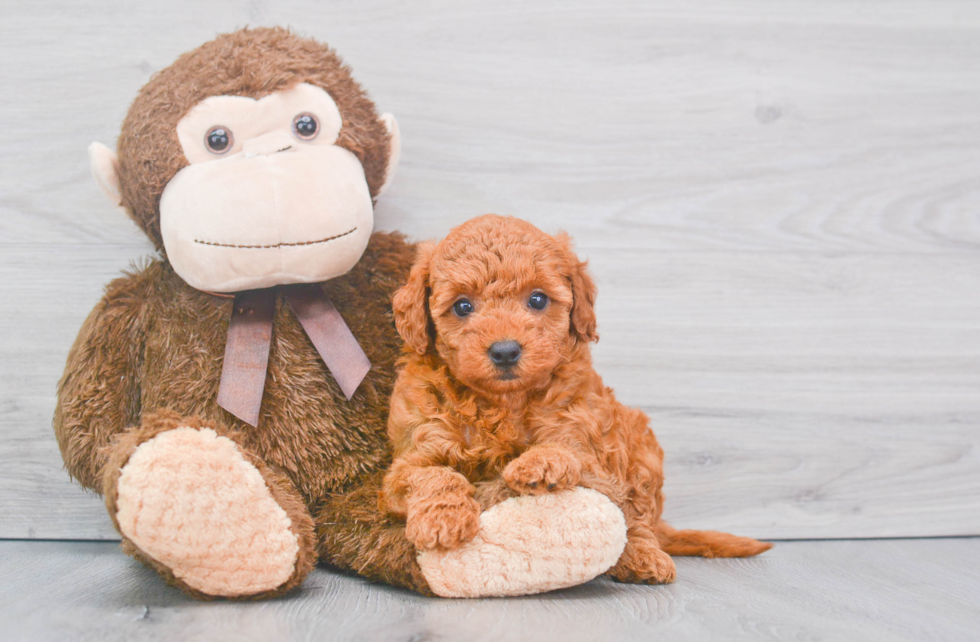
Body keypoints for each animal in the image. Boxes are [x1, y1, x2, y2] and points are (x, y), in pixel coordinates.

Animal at [378, 212, 768, 584]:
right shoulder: (410, 458)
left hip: (641, 449)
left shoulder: (586, 437)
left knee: (636, 520)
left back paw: (642, 557)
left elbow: (569, 451)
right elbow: (432, 474)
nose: (505, 351)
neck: (503, 403)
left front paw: (539, 463)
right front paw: (442, 521)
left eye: (537, 299)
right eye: (462, 306)